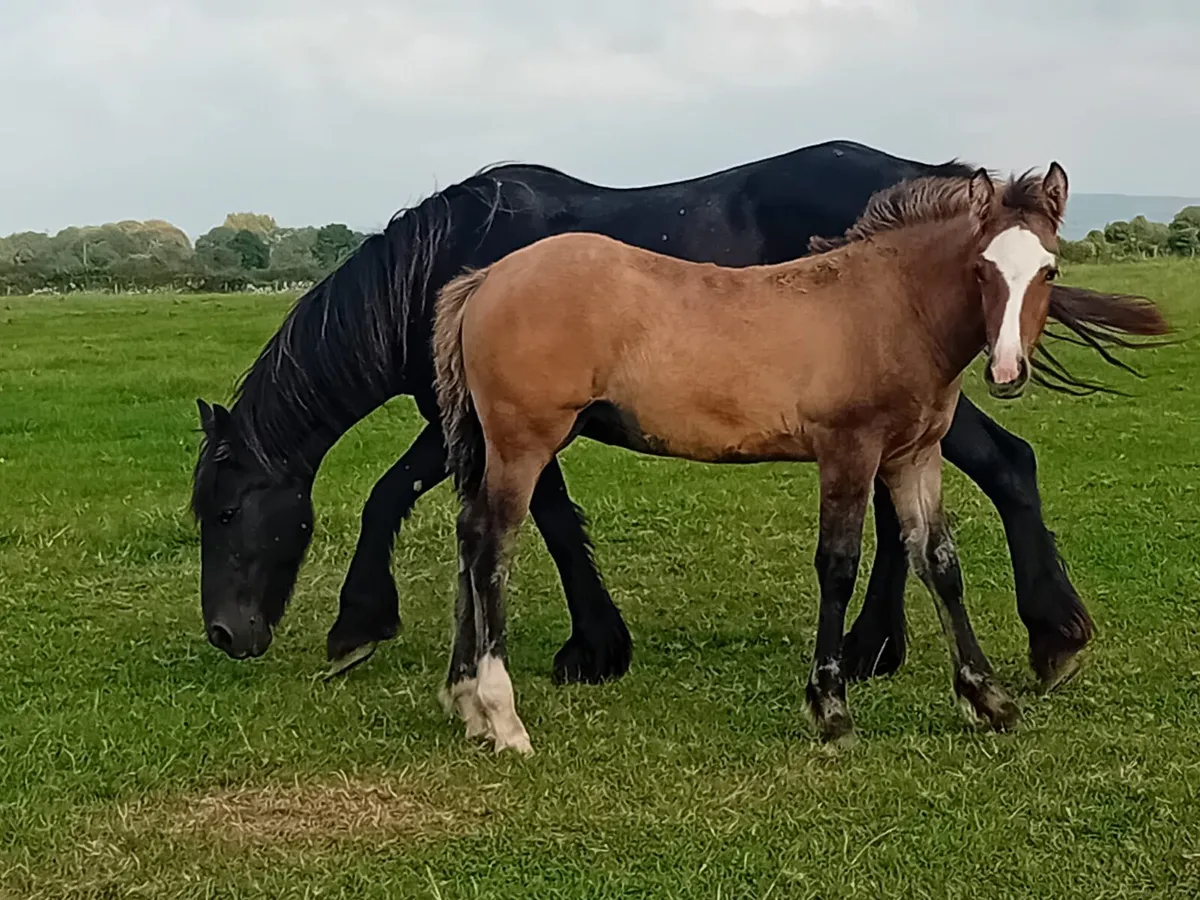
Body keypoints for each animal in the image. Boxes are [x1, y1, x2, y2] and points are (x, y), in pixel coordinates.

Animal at [191, 140, 1166, 692]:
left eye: (227, 511)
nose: (225, 635)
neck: (447, 265)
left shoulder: (477, 417)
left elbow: (419, 500)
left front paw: (362, 626)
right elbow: (538, 515)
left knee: (1007, 466)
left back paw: (1049, 636)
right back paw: (876, 648)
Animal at [431, 164, 1170, 752]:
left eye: (1050, 270)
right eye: (982, 270)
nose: (1008, 372)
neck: (886, 308)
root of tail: (486, 278)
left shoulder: (914, 456)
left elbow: (939, 563)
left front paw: (987, 698)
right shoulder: (848, 450)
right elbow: (837, 566)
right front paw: (832, 710)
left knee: (468, 537)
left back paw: (465, 703)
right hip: (524, 443)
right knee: (492, 549)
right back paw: (503, 718)